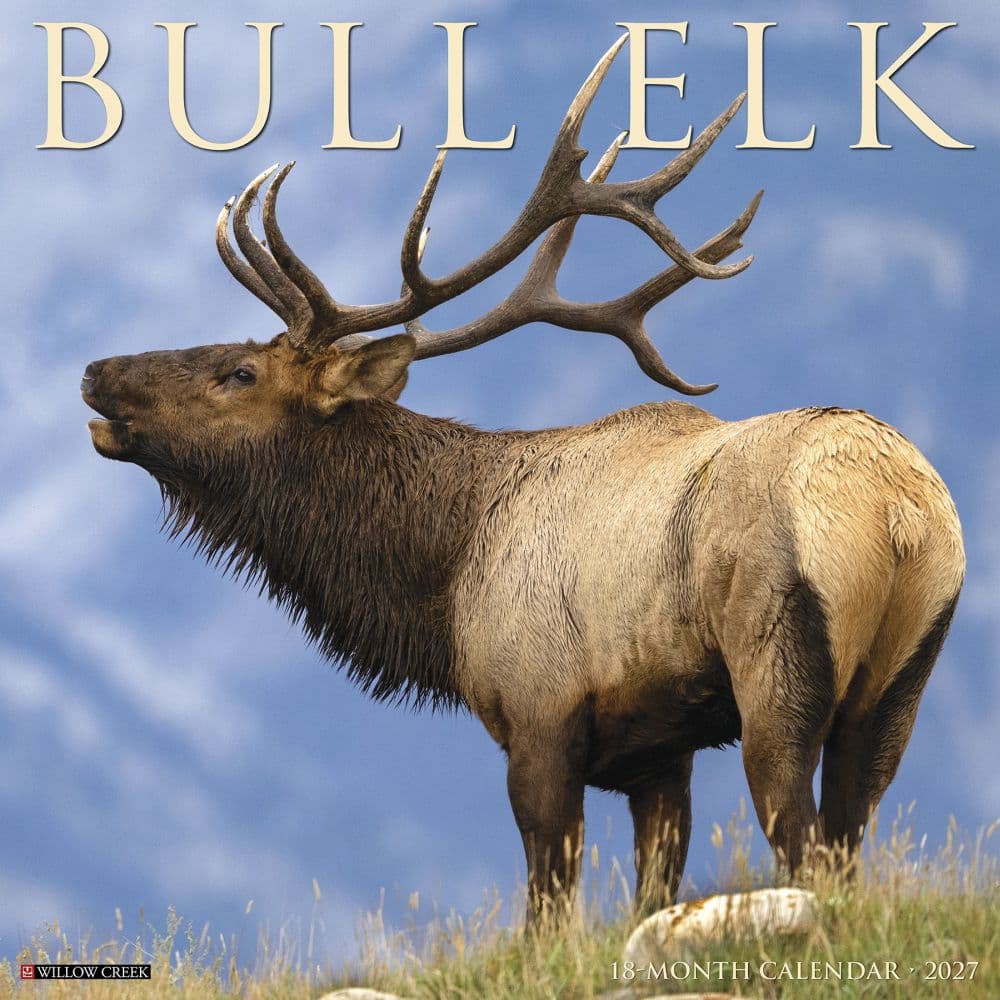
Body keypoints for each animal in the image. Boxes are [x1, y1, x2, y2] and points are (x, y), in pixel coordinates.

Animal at [81, 37, 964, 922]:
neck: (445, 576)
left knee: (805, 846)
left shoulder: (539, 713)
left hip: (774, 669)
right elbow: (653, 885)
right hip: (901, 683)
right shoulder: (659, 753)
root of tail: (897, 512)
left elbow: (548, 905)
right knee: (852, 832)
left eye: (240, 372)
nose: (95, 371)